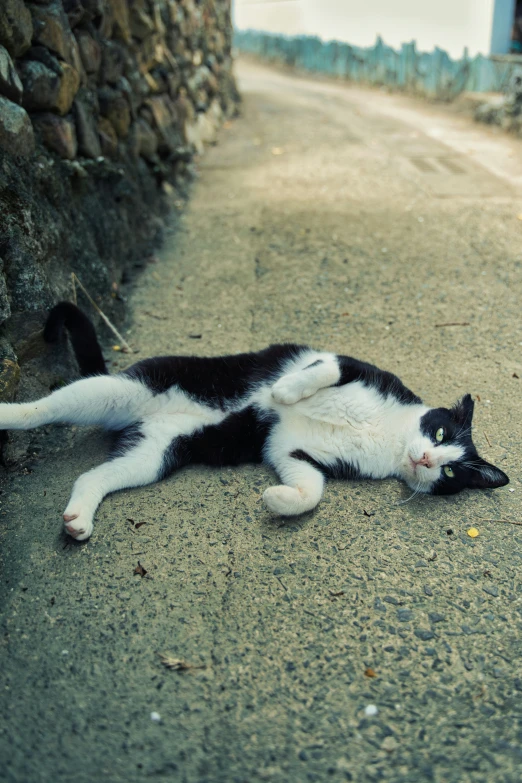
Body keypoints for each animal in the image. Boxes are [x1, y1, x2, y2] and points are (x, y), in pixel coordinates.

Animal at [0, 304, 506, 544]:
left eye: (450, 470)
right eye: (439, 432)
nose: (427, 458)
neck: (390, 435)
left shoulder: (292, 451)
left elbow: (310, 489)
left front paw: (278, 499)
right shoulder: (350, 364)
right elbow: (323, 370)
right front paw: (283, 392)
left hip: (154, 453)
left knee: (92, 476)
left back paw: (78, 521)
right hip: (127, 389)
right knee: (47, 408)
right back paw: (10, 412)